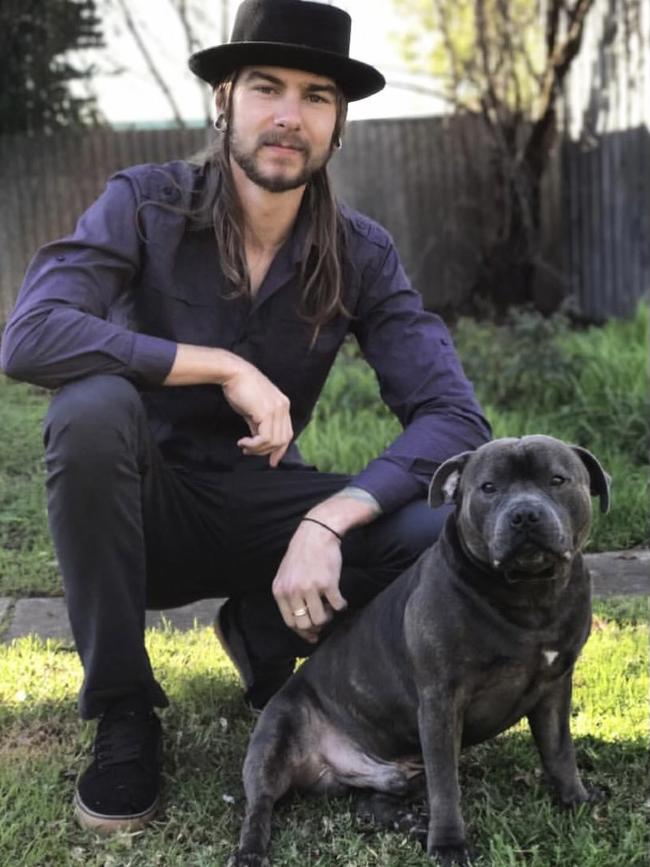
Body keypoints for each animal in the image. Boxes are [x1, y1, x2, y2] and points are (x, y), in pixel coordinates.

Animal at [228, 438, 608, 864]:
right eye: (489, 488)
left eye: (557, 480)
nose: (524, 514)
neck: (530, 594)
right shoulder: (441, 701)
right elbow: (446, 786)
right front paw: (449, 845)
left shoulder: (555, 688)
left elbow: (560, 753)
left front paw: (576, 800)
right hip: (273, 740)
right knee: (260, 803)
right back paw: (251, 850)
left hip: (395, 774)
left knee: (374, 801)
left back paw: (408, 821)